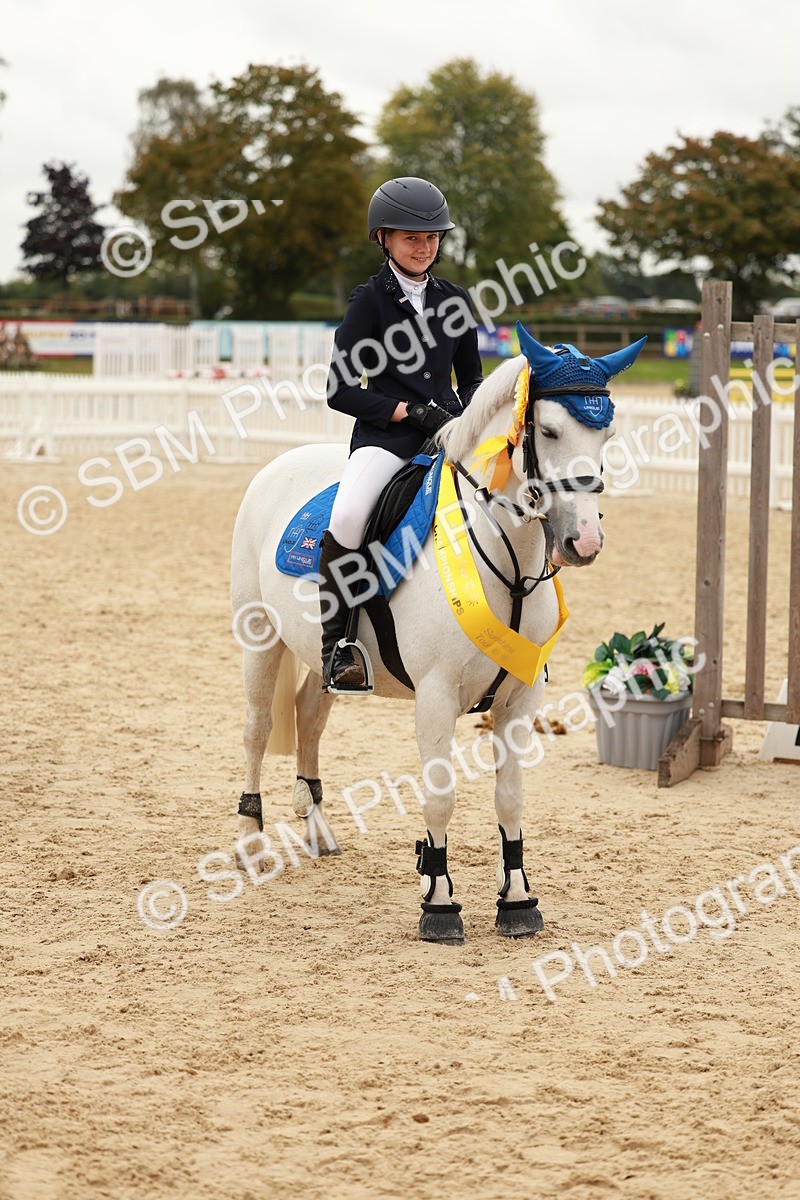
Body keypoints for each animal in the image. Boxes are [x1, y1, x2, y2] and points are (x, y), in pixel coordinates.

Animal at [230, 324, 646, 943]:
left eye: (608, 433)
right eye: (548, 430)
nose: (584, 542)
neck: (506, 558)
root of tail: (278, 464)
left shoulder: (521, 696)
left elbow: (510, 798)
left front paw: (517, 900)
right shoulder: (435, 696)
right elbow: (440, 798)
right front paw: (440, 904)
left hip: (324, 656)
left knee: (309, 713)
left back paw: (318, 830)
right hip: (260, 636)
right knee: (257, 728)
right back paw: (250, 843)